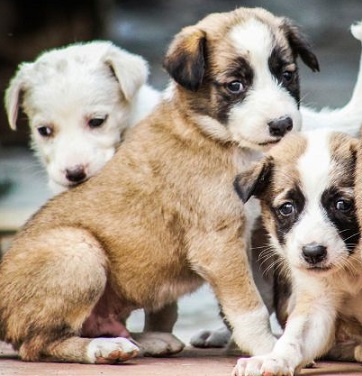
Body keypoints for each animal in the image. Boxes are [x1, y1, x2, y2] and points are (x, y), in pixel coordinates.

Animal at [233, 129, 360, 376]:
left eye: (343, 204)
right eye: (287, 208)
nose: (313, 253)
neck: (354, 265)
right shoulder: (318, 302)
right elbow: (293, 339)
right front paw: (271, 359)